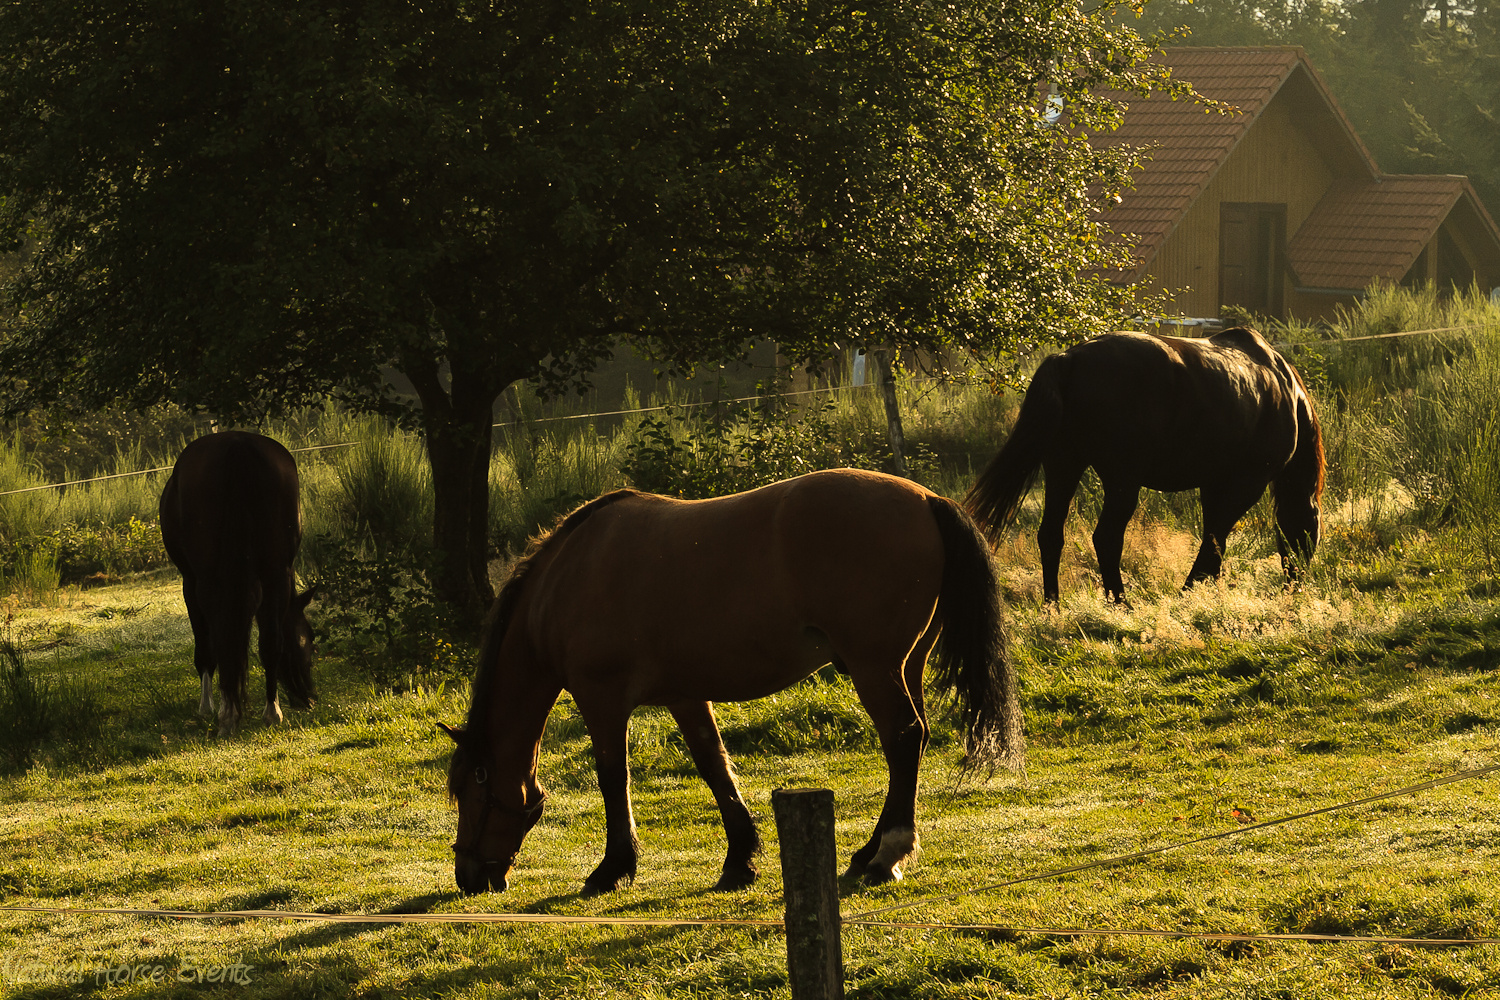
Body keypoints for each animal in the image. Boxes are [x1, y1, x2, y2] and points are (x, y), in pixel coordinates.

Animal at [159, 431, 315, 734]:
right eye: (310, 639)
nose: (310, 697)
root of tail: (237, 444)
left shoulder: (191, 583)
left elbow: (206, 649)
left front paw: (208, 707)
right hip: (274, 573)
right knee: (270, 642)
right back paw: (271, 713)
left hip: (209, 581)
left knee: (222, 640)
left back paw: (231, 713)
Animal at [438, 470, 1026, 899]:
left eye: (471, 788)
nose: (469, 877)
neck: (566, 581)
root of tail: (927, 499)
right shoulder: (684, 695)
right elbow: (714, 765)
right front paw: (740, 859)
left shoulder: (600, 699)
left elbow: (613, 778)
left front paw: (613, 868)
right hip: (905, 665)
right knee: (911, 743)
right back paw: (869, 850)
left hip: (874, 666)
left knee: (903, 739)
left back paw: (888, 856)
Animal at [960, 332, 1326, 605]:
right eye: (1309, 532)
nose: (1294, 588)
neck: (1286, 391)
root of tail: (1068, 359)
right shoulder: (1246, 484)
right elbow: (1215, 538)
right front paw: (1190, 591)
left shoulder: (1213, 485)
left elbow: (1214, 537)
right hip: (1121, 481)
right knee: (1106, 537)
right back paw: (1121, 603)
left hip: (1064, 467)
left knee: (1051, 534)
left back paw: (1054, 606)